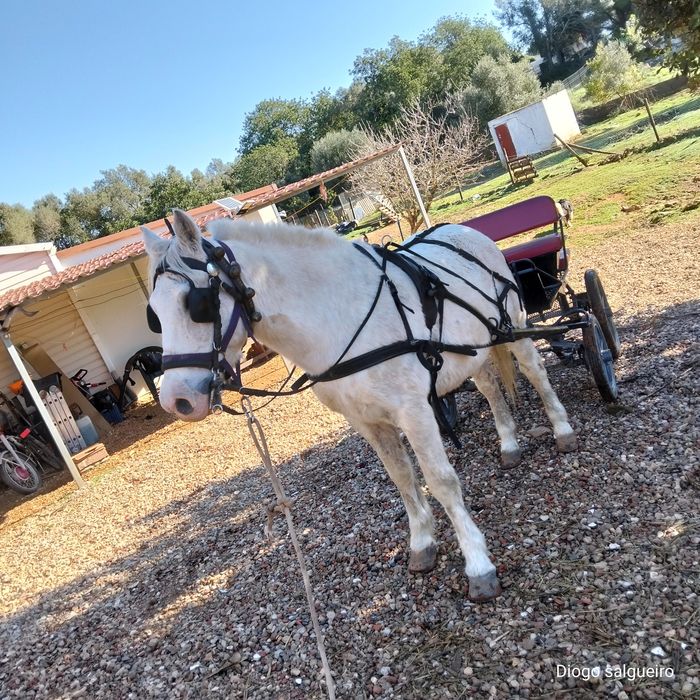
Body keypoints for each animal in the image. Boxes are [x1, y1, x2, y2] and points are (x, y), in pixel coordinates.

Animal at [142, 209, 577, 601]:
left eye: (197, 304)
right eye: (154, 315)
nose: (177, 400)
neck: (340, 316)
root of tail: (466, 229)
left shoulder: (414, 411)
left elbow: (441, 481)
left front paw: (477, 563)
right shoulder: (367, 421)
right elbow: (402, 478)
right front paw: (422, 542)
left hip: (513, 326)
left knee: (535, 372)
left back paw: (562, 429)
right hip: (471, 351)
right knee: (489, 388)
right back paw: (509, 443)